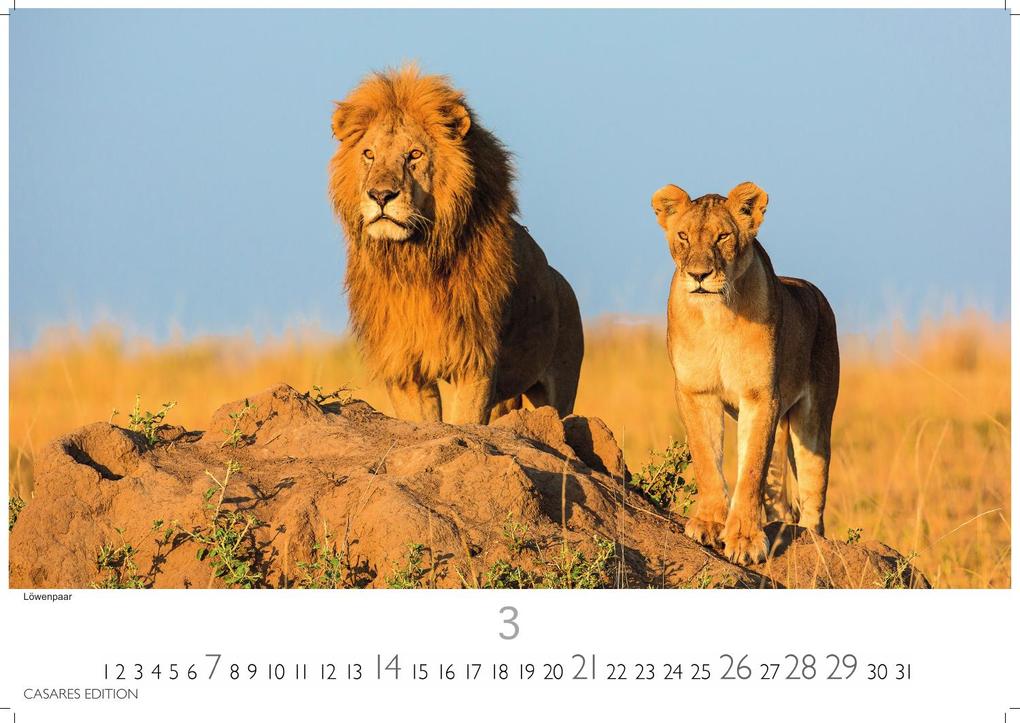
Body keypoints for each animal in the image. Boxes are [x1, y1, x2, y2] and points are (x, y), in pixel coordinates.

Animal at [328, 65, 583, 424]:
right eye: (369, 155)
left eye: (414, 155)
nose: (380, 195)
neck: (415, 258)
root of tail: (561, 281)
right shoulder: (405, 367)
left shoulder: (476, 361)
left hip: (560, 385)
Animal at [651, 181, 839, 564]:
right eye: (683, 235)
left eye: (723, 236)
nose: (699, 275)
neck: (716, 315)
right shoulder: (696, 391)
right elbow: (706, 459)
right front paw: (709, 523)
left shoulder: (760, 395)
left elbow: (750, 469)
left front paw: (745, 539)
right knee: (783, 503)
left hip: (813, 421)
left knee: (814, 497)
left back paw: (814, 545)